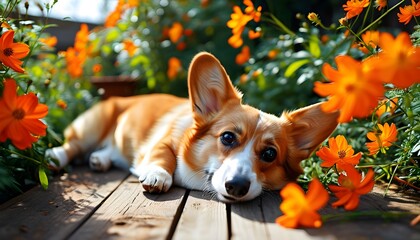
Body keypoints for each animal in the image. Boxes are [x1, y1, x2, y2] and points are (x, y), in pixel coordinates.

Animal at [47, 52, 340, 202]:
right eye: (227, 137)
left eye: (270, 154)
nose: (237, 186)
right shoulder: (164, 140)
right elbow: (162, 155)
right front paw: (158, 175)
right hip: (92, 127)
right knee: (73, 145)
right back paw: (56, 156)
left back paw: (100, 159)